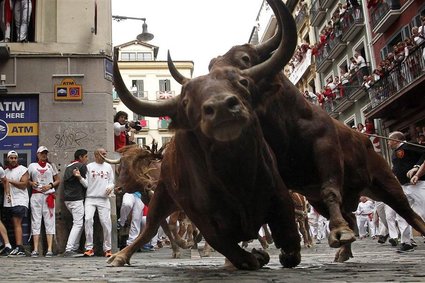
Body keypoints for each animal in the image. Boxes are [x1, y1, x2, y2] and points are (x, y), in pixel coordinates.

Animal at [108, 0, 302, 270]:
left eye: (243, 83)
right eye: (187, 100)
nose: (221, 107)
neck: (235, 176)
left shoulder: (280, 195)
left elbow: (289, 236)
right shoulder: (194, 212)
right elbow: (211, 238)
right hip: (165, 197)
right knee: (151, 229)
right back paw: (123, 254)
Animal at [207, 0, 424, 264]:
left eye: (245, 58)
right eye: (211, 66)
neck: (286, 127)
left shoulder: (326, 151)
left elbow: (330, 189)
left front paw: (338, 233)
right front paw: (286, 250)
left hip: (387, 182)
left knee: (409, 213)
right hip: (319, 200)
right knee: (351, 216)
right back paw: (344, 252)